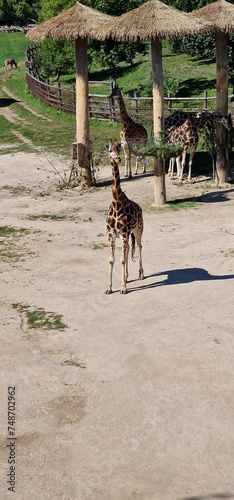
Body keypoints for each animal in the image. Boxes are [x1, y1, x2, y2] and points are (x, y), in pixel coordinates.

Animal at [104, 139, 144, 294]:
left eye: (119, 148)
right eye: (110, 150)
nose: (117, 159)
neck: (117, 205)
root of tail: (140, 207)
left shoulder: (124, 232)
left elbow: (121, 259)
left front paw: (122, 288)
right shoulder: (112, 233)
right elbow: (112, 259)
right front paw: (109, 288)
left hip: (138, 229)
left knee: (139, 246)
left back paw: (141, 274)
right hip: (127, 234)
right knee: (127, 253)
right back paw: (126, 277)